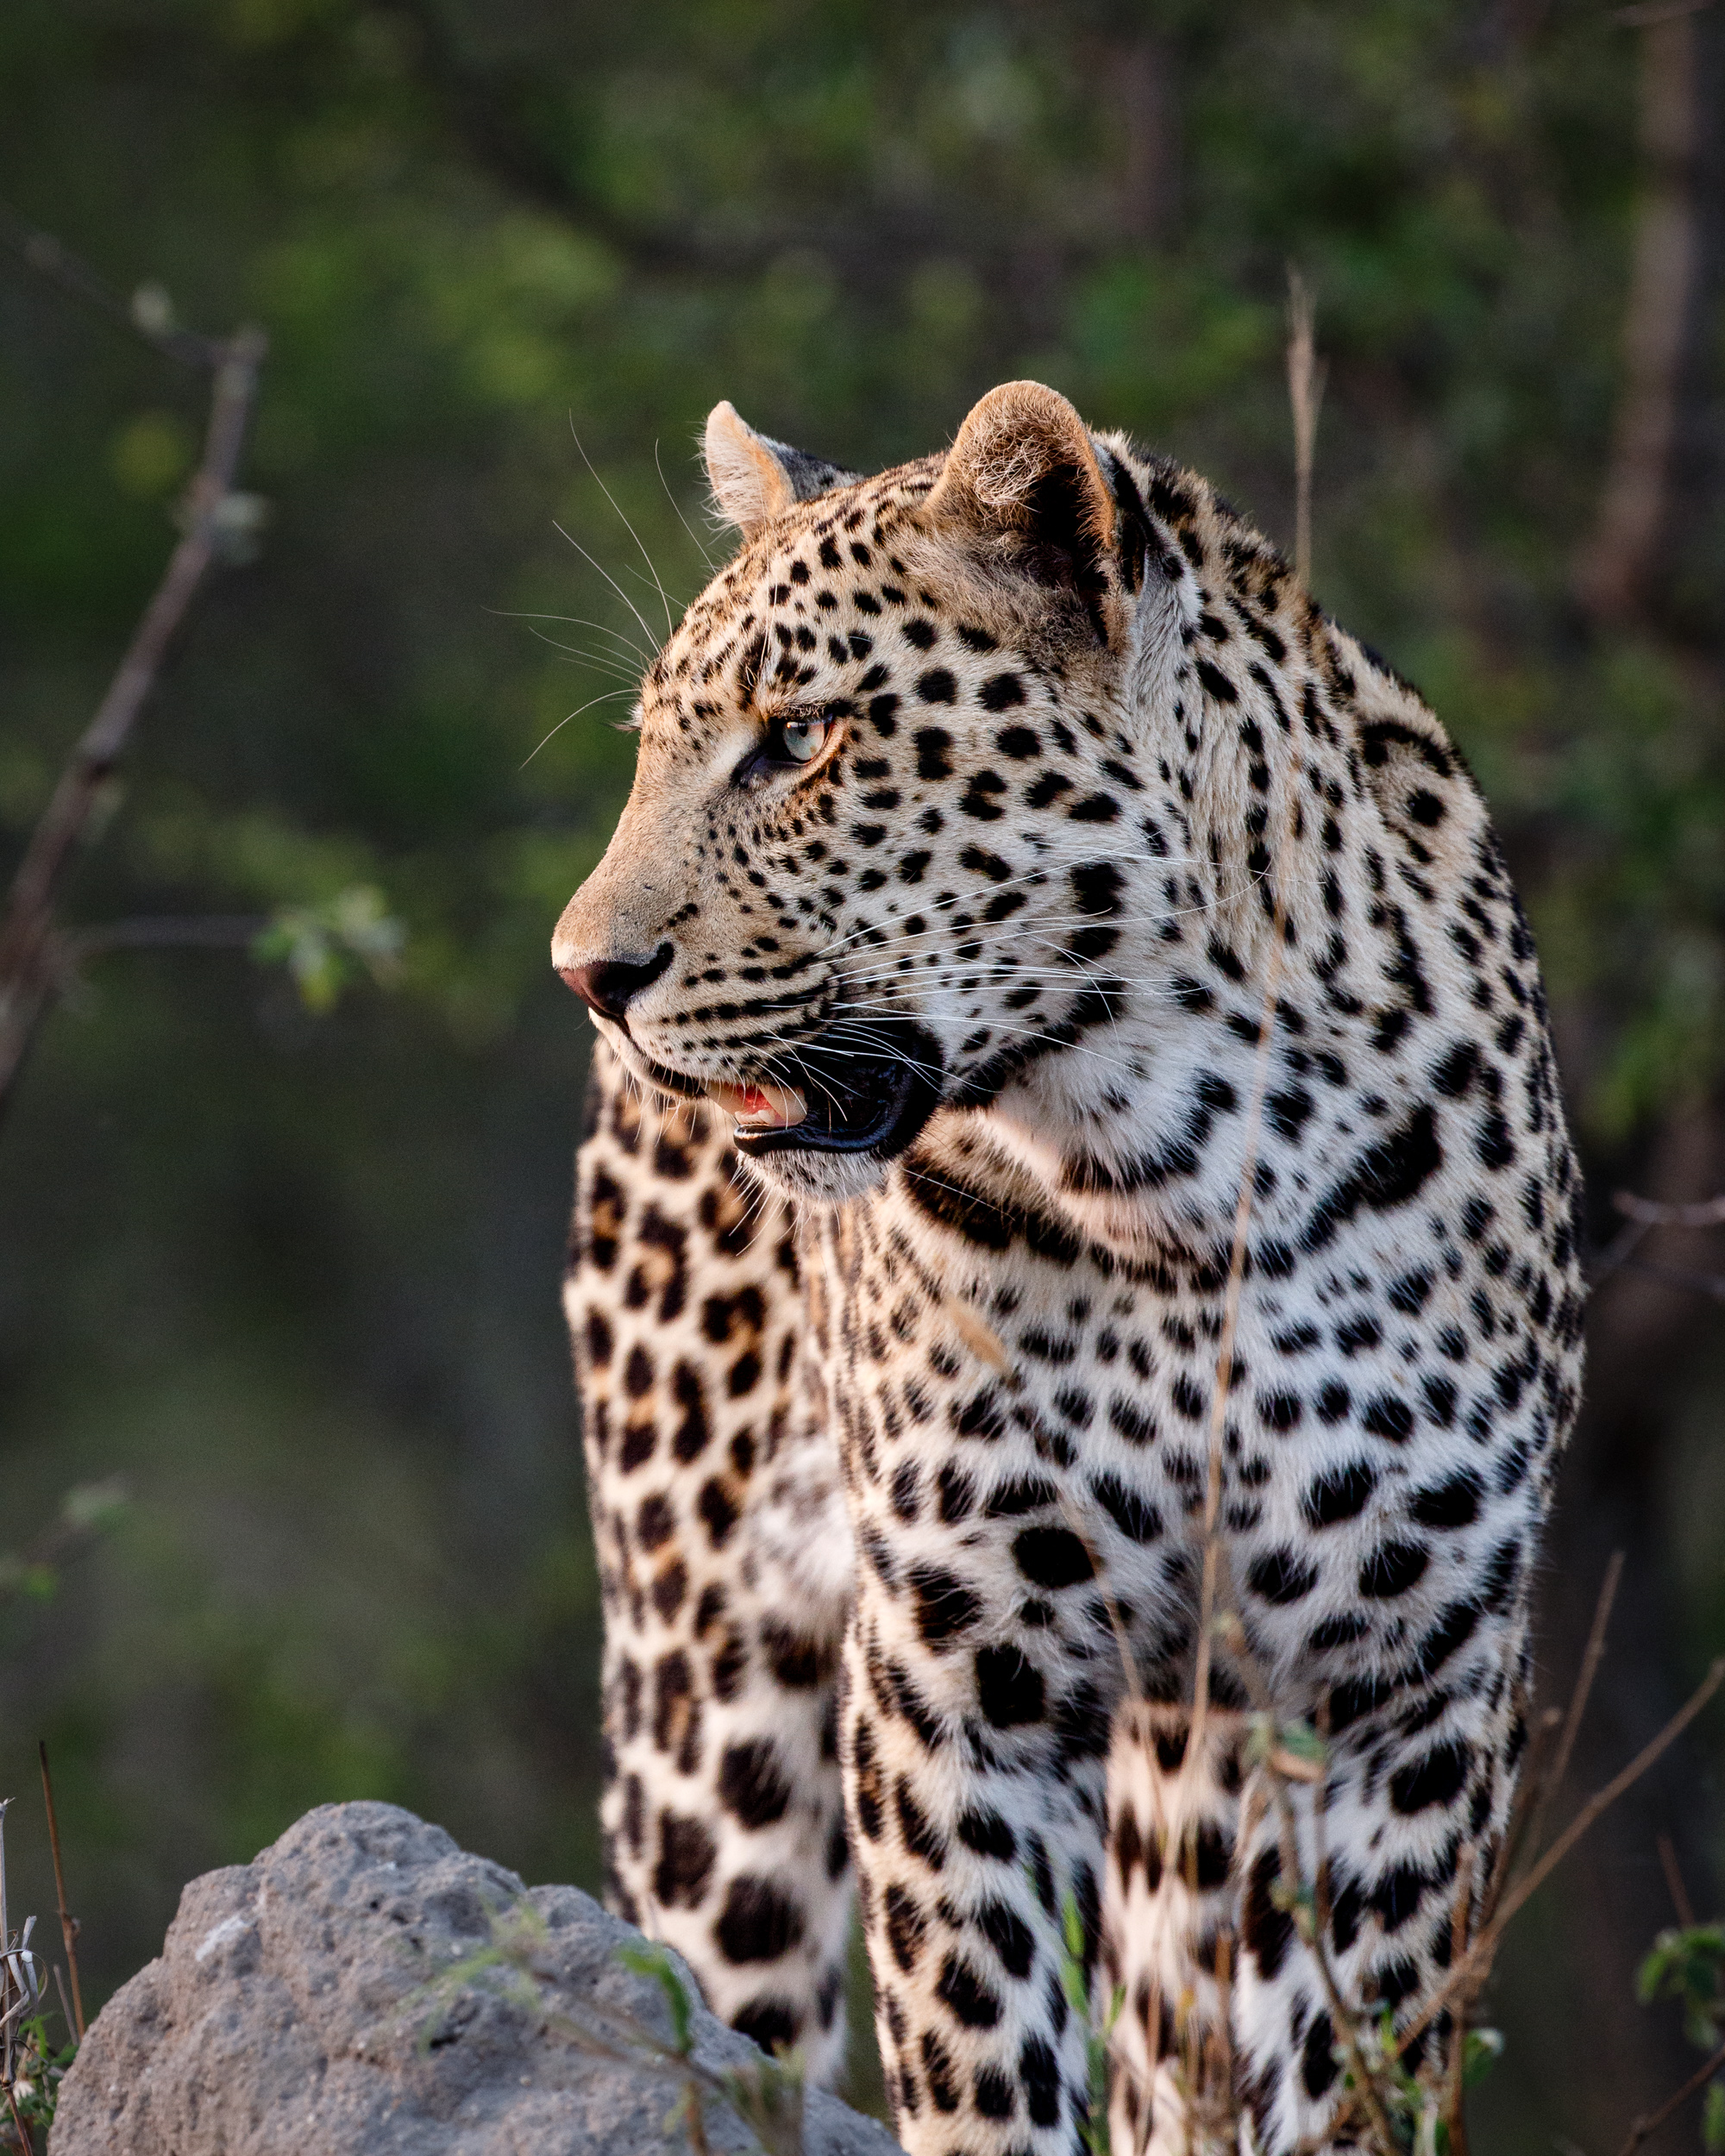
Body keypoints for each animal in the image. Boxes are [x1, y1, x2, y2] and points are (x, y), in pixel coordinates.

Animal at [554, 381, 1585, 2154]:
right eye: (653, 751)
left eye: (799, 738)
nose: (586, 975)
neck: (1187, 1167)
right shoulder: (954, 1674)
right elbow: (979, 2065)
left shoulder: (1412, 1684)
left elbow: (1360, 2075)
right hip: (709, 1692)